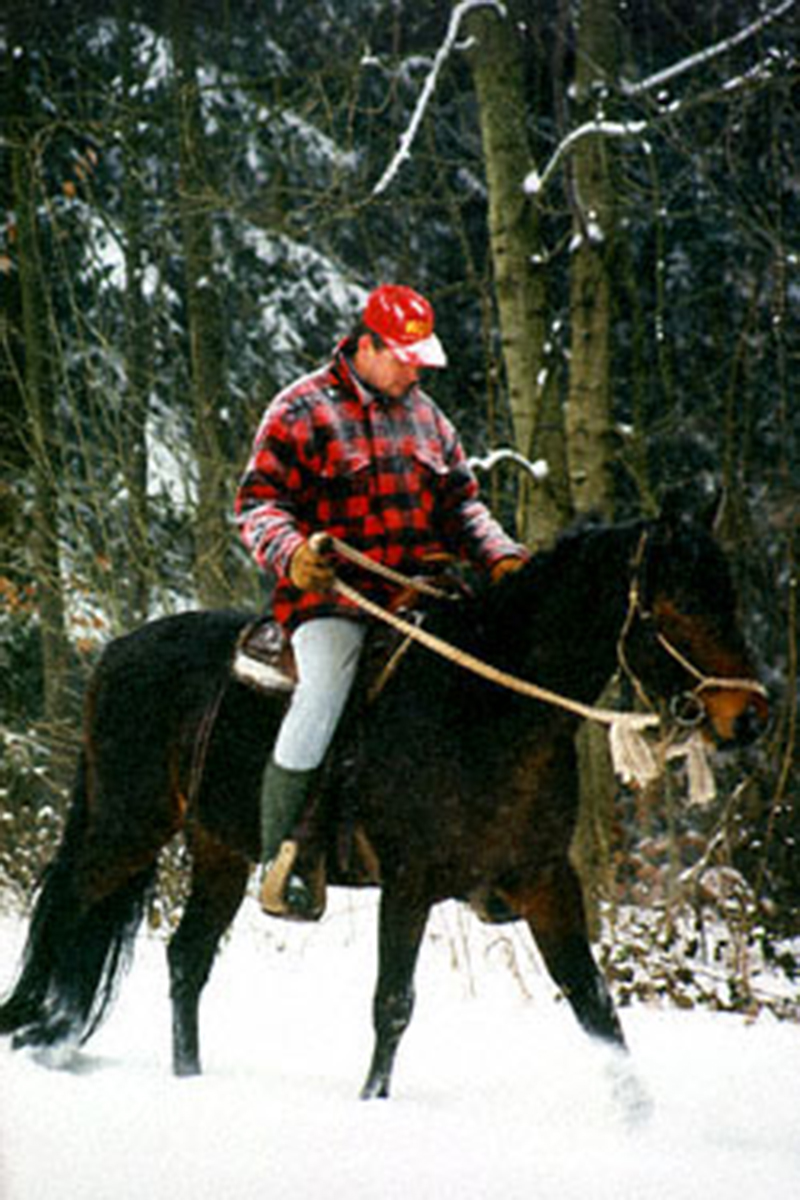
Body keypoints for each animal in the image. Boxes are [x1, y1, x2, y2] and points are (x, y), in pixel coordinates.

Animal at [0, 492, 767, 1099]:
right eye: (677, 607)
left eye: (731, 597)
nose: (750, 716)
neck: (482, 707)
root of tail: (117, 652)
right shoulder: (409, 883)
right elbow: (392, 1005)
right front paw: (373, 1104)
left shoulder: (546, 880)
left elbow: (595, 1004)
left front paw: (640, 1121)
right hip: (125, 830)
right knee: (69, 908)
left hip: (218, 849)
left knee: (187, 958)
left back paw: (186, 1077)